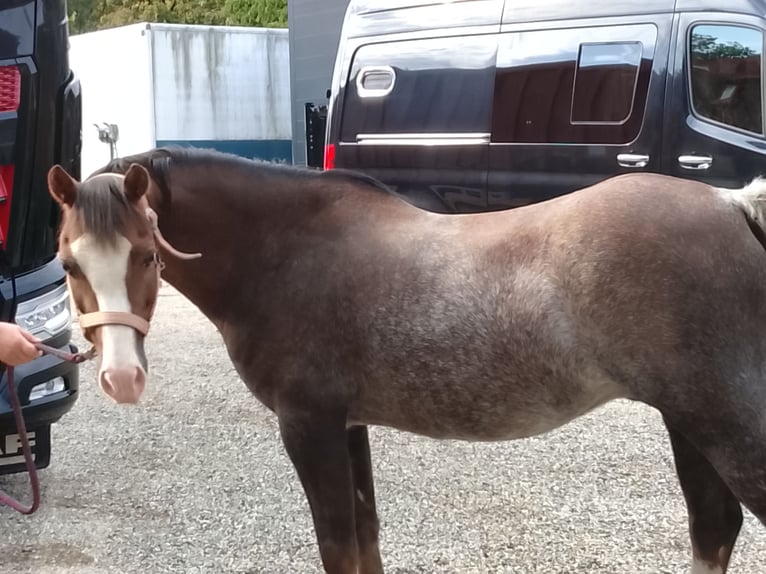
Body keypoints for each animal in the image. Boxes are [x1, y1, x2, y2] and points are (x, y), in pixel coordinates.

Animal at [46, 146, 766, 574]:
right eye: (68, 263)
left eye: (146, 254)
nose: (121, 377)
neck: (284, 252)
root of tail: (733, 204)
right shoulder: (347, 425)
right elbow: (366, 533)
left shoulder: (307, 426)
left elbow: (339, 541)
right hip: (687, 421)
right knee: (714, 526)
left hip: (724, 425)